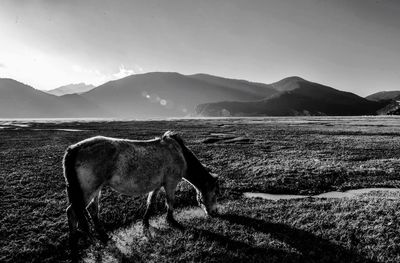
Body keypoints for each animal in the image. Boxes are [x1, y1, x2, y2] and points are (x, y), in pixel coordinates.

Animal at [63, 132, 219, 256]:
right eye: (215, 192)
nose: (215, 212)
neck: (180, 153)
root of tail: (74, 149)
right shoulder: (170, 183)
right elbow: (170, 202)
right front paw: (170, 220)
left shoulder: (157, 186)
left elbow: (150, 203)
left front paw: (145, 222)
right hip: (87, 192)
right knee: (73, 212)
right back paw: (84, 242)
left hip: (96, 191)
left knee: (92, 211)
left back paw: (94, 237)